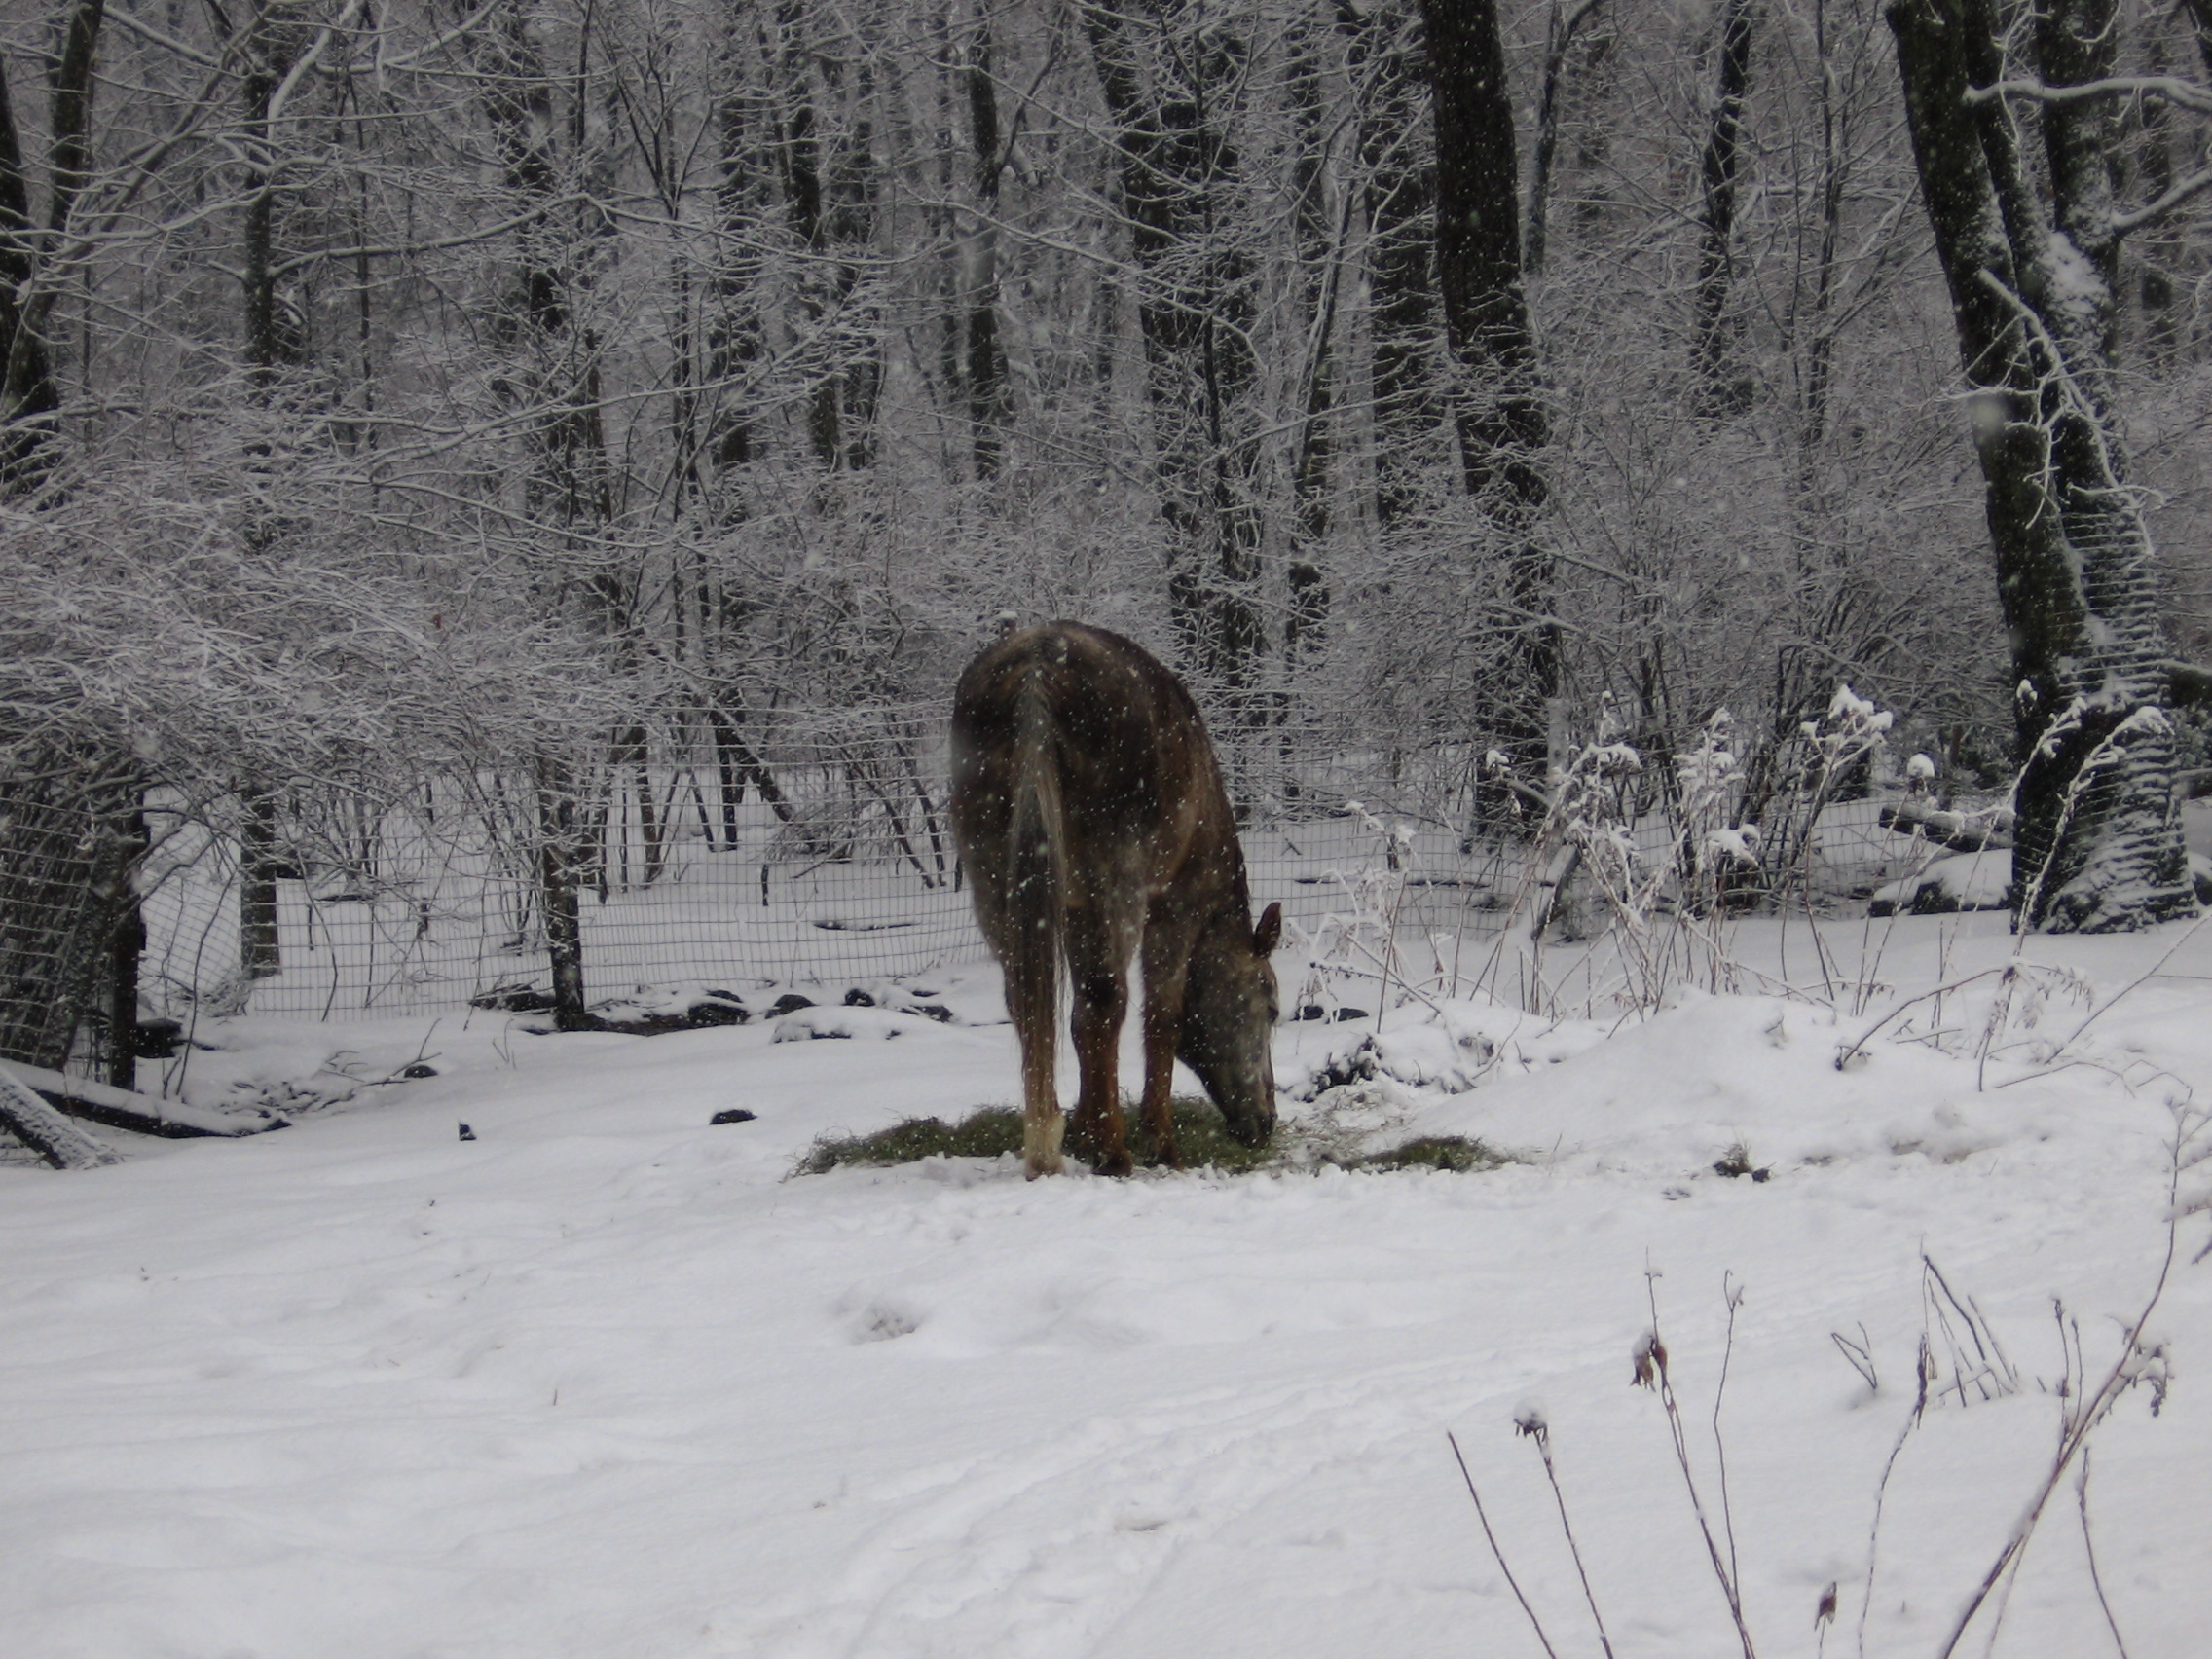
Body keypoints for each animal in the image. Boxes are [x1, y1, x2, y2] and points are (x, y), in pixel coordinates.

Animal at [946, 623, 1282, 1185]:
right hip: (1116, 884)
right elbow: (1161, 1018)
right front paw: (1158, 1143)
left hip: (996, 886)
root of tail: (1037, 669)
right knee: (1106, 1000)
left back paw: (1053, 1135)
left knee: (1029, 1001)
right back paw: (1113, 1153)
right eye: (1273, 1009)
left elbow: (1077, 1025)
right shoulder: (1173, 910)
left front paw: (1083, 1127)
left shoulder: (1074, 911)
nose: (1265, 1121)